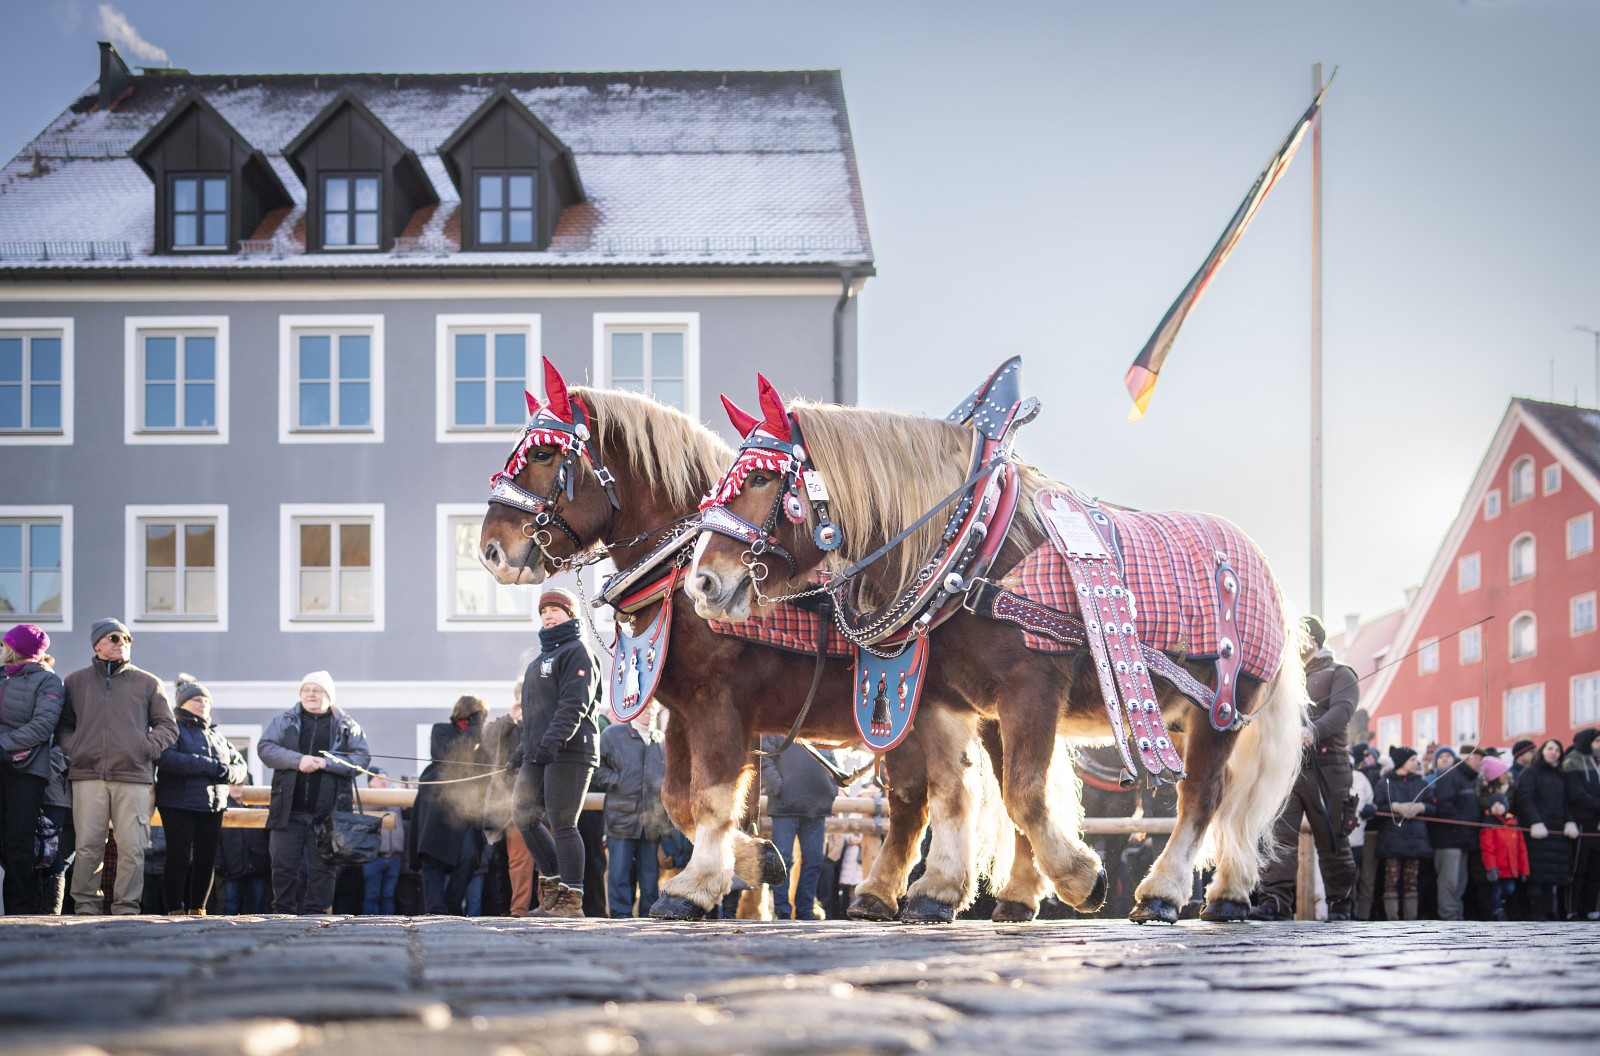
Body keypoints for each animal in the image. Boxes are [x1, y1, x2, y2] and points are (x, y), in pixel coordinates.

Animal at [476, 366, 1016, 919]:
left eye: (543, 454)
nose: (490, 549)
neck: (677, 572)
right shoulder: (683, 715)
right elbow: (678, 799)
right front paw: (756, 858)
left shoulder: (720, 707)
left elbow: (711, 798)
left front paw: (696, 886)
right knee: (926, 798)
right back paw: (896, 894)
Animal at [687, 379, 1308, 922]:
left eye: (761, 480)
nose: (703, 583)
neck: (973, 552)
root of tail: (1264, 566)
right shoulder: (942, 700)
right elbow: (954, 794)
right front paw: (938, 891)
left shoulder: (1031, 689)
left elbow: (1025, 795)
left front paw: (1081, 879)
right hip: (1176, 715)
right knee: (1225, 801)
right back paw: (1229, 894)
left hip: (1223, 707)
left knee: (1201, 796)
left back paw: (1163, 891)